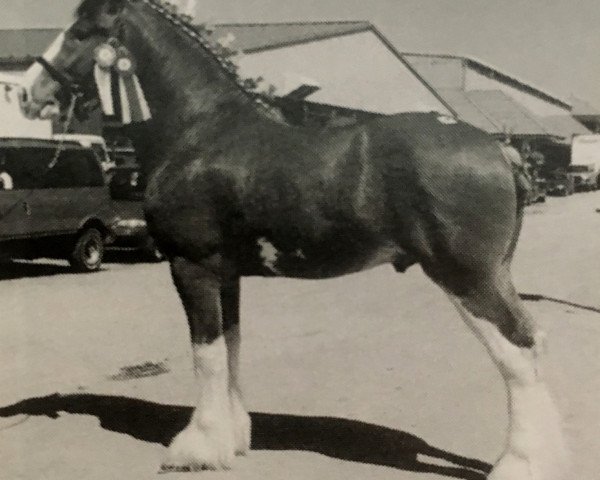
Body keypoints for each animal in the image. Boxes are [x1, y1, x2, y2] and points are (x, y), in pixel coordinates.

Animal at [21, 0, 568, 476]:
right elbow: (231, 347)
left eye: (82, 32)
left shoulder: (191, 266)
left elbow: (206, 354)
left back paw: (517, 465)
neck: (199, 132)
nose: (26, 93)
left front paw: (197, 448)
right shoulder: (227, 273)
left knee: (518, 352)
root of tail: (498, 150)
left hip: (467, 277)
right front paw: (234, 438)